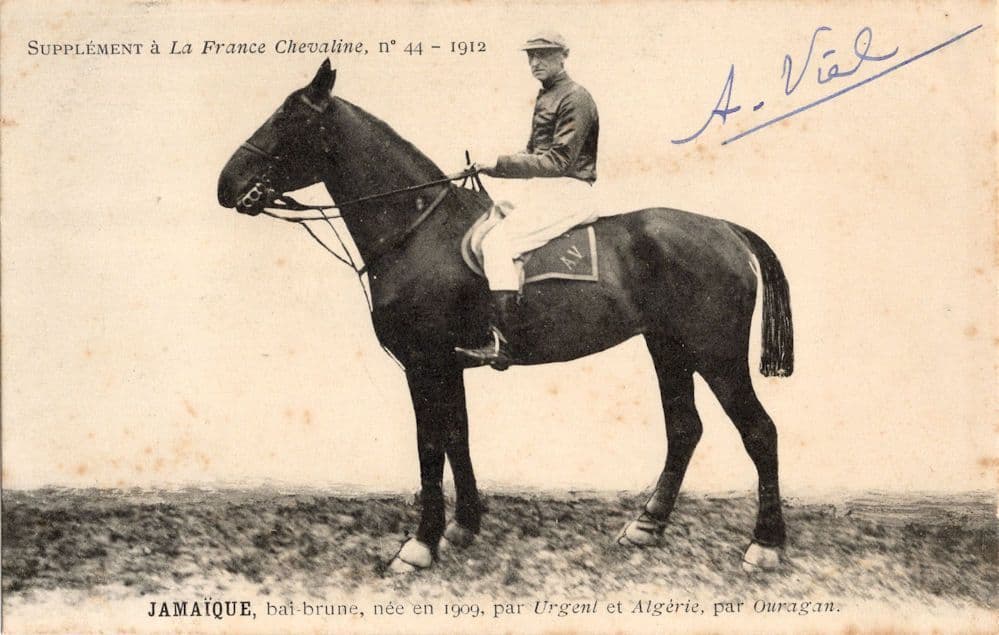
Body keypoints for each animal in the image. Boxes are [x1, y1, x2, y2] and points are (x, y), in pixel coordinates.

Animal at [217, 60, 794, 574]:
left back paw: (764, 545)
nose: (226, 186)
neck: (418, 229)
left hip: (715, 354)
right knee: (684, 428)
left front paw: (419, 546)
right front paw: (463, 527)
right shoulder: (447, 366)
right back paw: (647, 526)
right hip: (668, 347)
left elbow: (431, 446)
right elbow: (458, 436)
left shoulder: (425, 364)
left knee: (760, 431)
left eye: (287, 117)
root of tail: (725, 229)